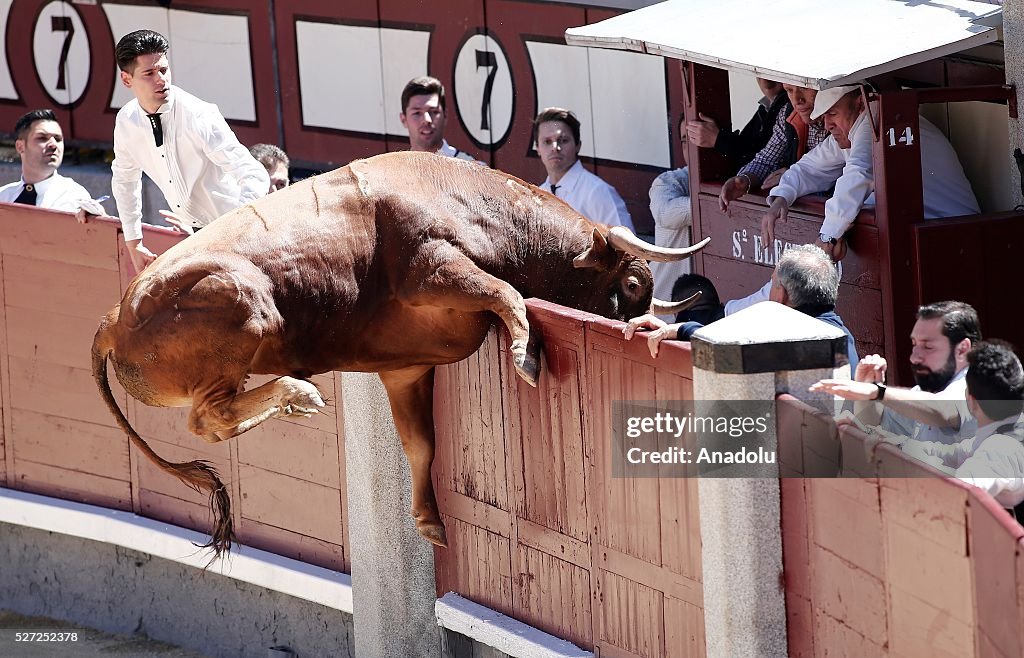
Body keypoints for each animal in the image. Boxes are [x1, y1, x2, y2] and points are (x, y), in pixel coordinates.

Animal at [90, 153, 704, 556]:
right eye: (630, 284)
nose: (639, 325)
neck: (474, 204)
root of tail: (111, 320)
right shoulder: (435, 269)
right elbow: (505, 293)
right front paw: (526, 356)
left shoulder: (407, 368)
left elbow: (420, 443)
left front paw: (428, 522)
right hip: (243, 302)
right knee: (206, 418)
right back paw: (299, 392)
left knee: (212, 422)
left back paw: (295, 396)